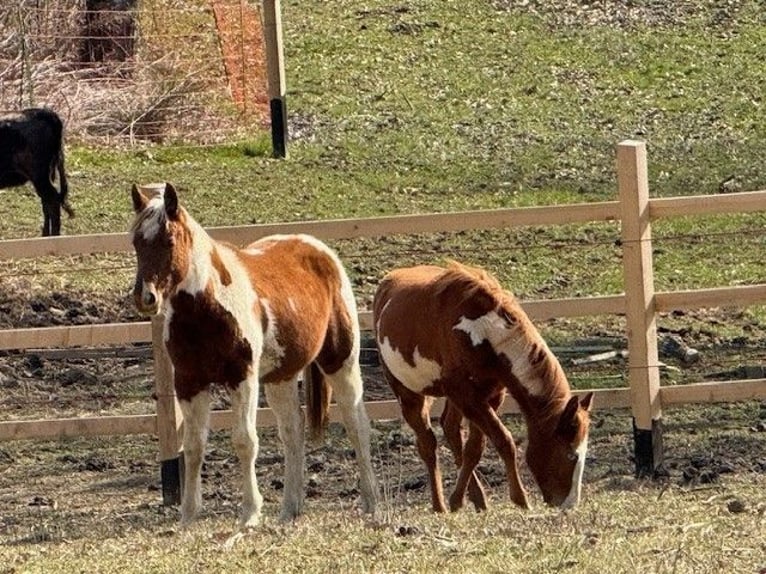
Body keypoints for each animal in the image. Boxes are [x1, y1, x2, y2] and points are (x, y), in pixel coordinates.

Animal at [130, 182, 380, 528]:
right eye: (136, 242)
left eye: (168, 240)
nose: (146, 298)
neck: (207, 307)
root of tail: (318, 249)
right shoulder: (189, 383)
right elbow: (193, 447)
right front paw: (188, 517)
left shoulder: (243, 378)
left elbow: (245, 441)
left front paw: (250, 513)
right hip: (281, 377)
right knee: (293, 431)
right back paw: (289, 510)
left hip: (341, 362)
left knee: (357, 424)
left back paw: (371, 502)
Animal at [376, 264, 596, 516]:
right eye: (571, 454)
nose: (569, 504)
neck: (484, 332)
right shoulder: (468, 396)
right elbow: (504, 441)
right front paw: (521, 499)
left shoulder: (489, 395)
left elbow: (474, 449)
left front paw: (464, 500)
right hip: (409, 394)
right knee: (428, 444)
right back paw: (439, 505)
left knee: (450, 429)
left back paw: (471, 497)